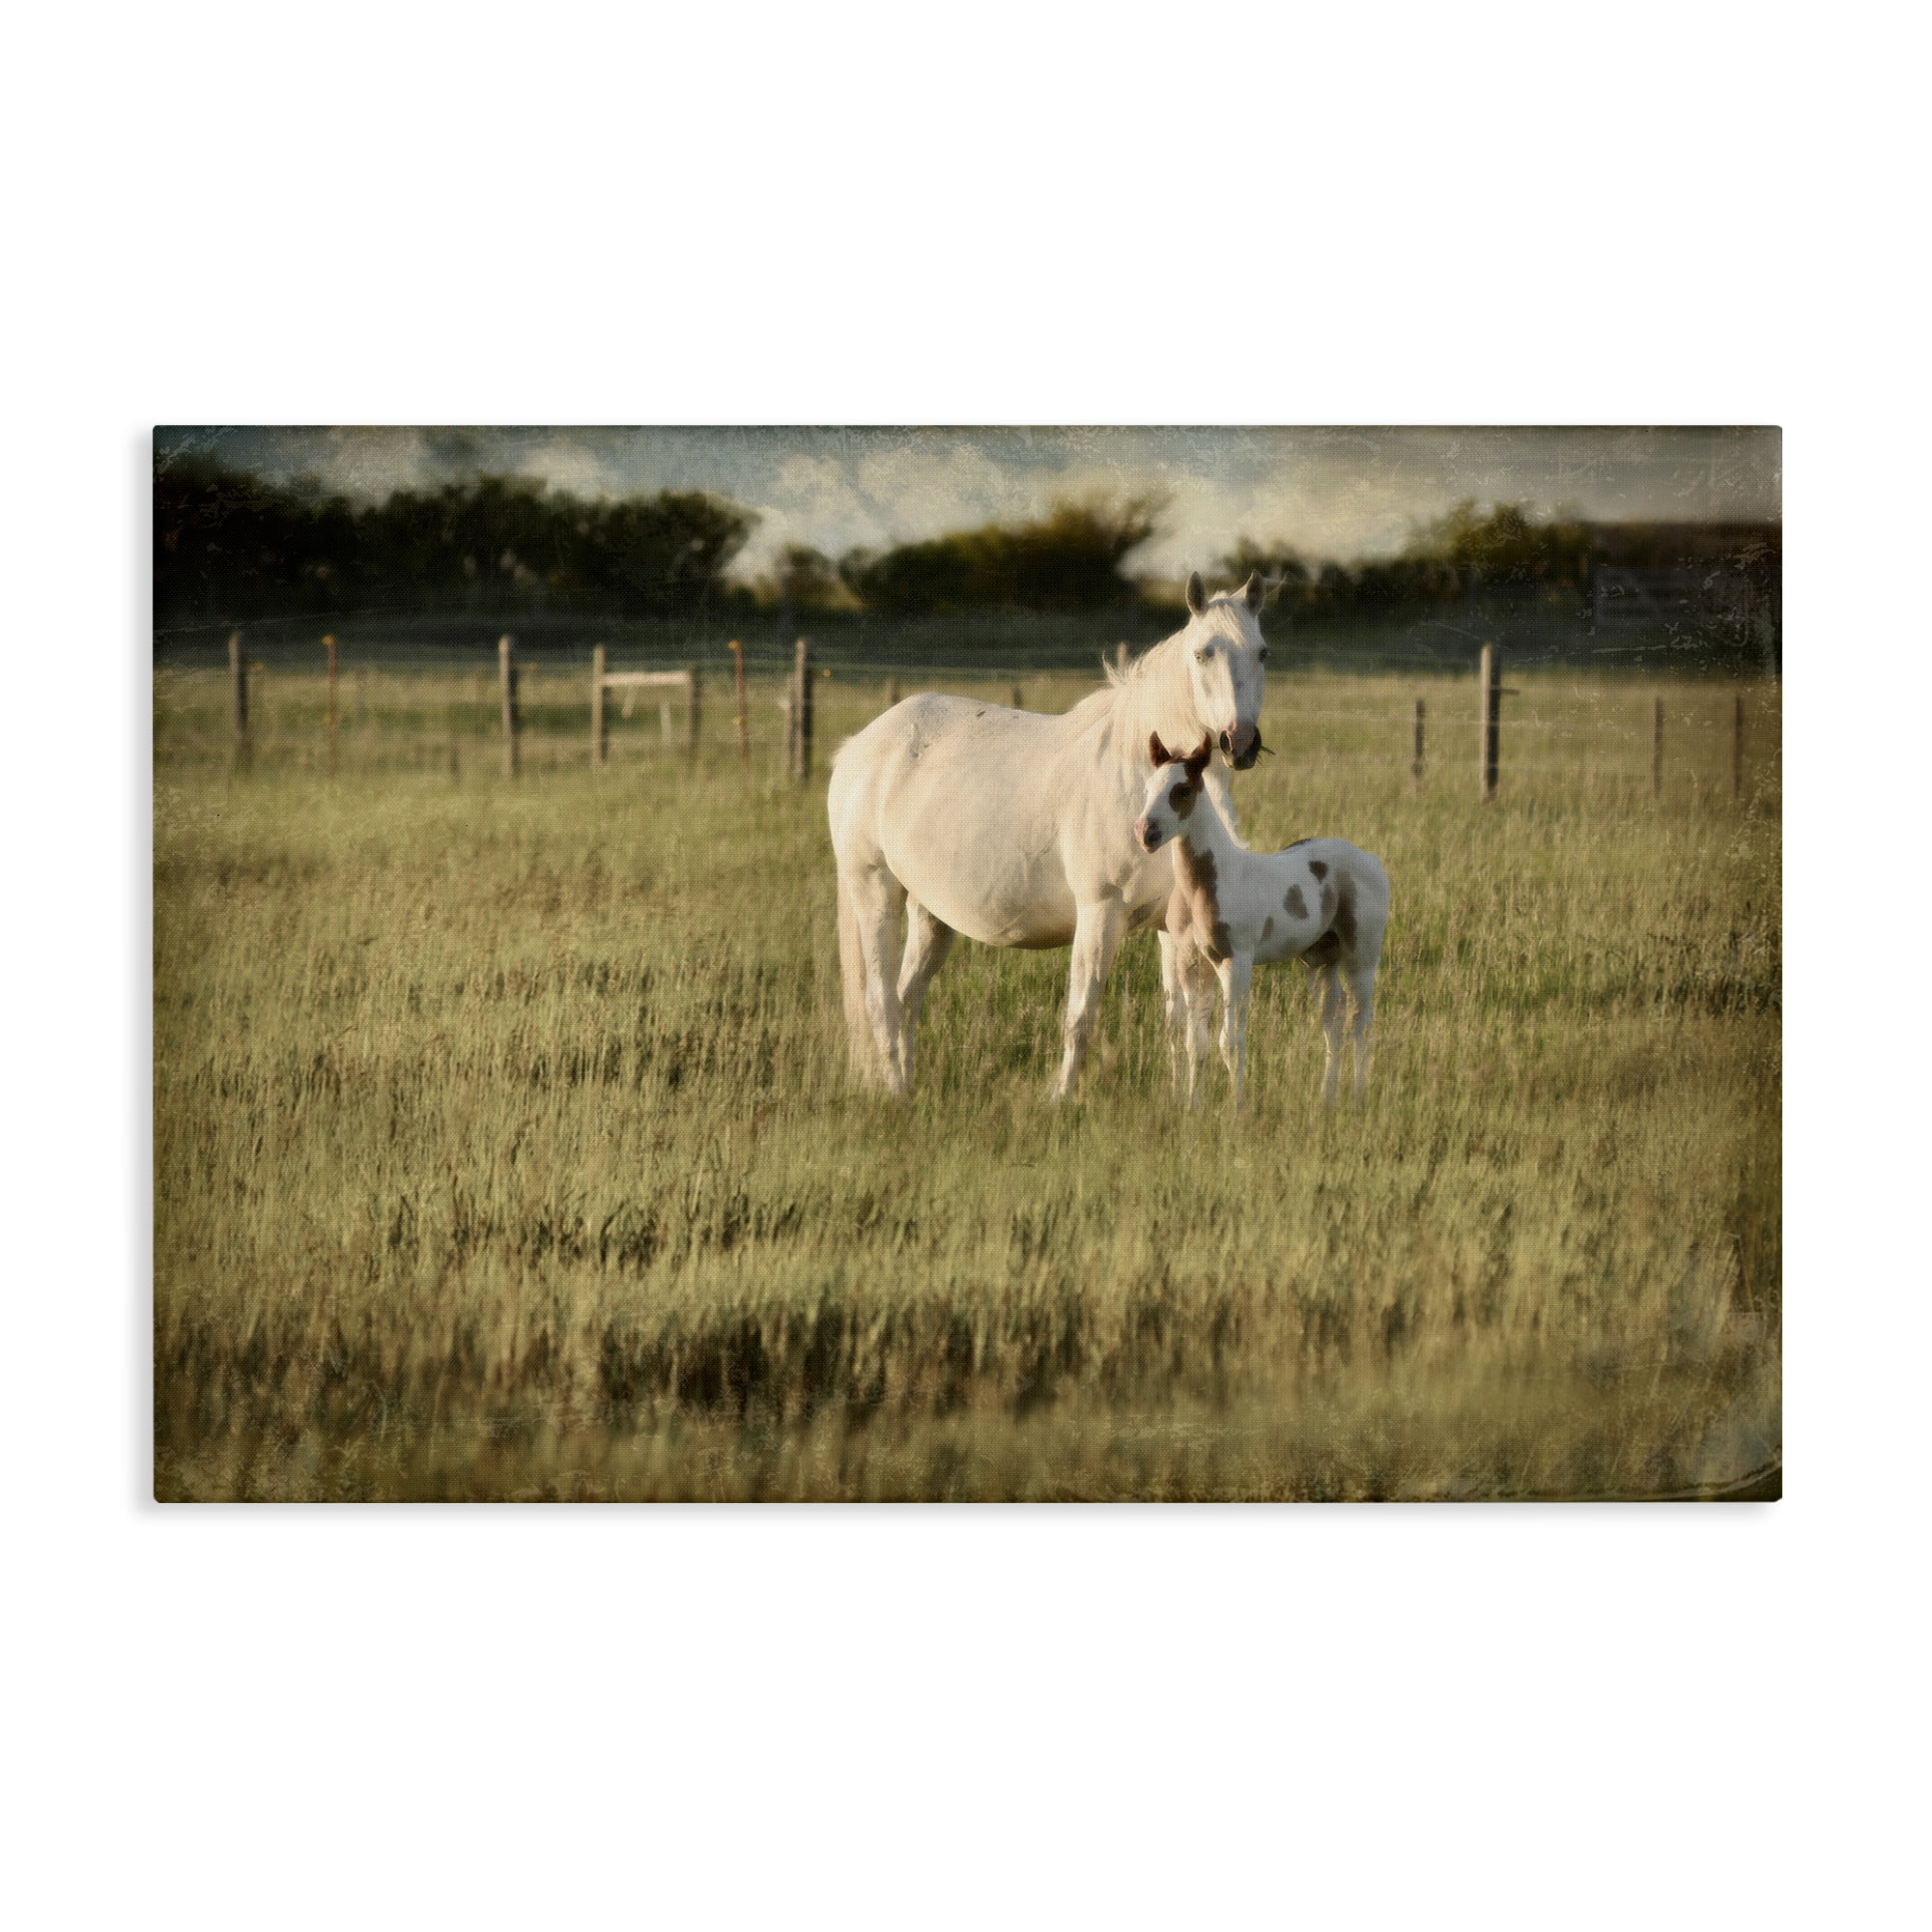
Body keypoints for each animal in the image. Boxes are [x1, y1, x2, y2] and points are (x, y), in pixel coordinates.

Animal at [827, 570, 1270, 1101]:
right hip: (875, 892)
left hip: (930, 915)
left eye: (1262, 652)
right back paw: (896, 1093)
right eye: (1203, 653)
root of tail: (858, 747)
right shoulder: (1099, 913)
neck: (1136, 777)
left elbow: (1180, 1021)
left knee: (906, 999)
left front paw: (1180, 1098)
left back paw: (909, 1086)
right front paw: (1060, 1098)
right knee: (880, 1001)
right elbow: (1081, 1017)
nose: (1239, 743)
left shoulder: (1171, 926)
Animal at [1136, 736, 1390, 1110]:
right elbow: (1195, 1042)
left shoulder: (1235, 961)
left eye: (1182, 790)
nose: (1145, 833)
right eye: (1148, 788)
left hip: (1362, 957)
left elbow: (1230, 1042)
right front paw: (1193, 1106)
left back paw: (1357, 1098)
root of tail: (1371, 859)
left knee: (1361, 1023)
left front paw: (1236, 1108)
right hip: (1320, 961)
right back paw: (1326, 1099)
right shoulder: (1192, 964)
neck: (1205, 885)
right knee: (1334, 1021)